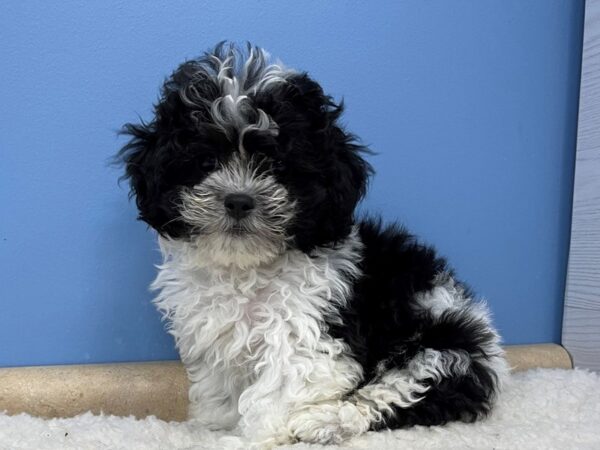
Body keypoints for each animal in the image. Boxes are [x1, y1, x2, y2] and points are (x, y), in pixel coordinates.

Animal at [119, 43, 508, 446]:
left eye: (277, 167)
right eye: (207, 161)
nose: (239, 201)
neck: (247, 268)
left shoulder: (304, 333)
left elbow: (275, 393)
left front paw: (244, 440)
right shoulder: (216, 337)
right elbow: (221, 388)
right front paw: (213, 425)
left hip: (440, 349)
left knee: (396, 392)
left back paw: (323, 422)